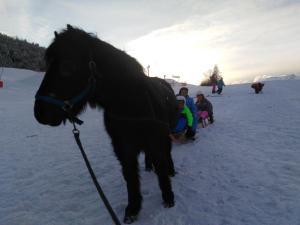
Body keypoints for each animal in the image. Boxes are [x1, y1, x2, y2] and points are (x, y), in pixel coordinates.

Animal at [33, 25, 178, 223]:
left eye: (68, 66)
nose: (40, 113)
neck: (132, 104)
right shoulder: (123, 148)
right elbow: (131, 177)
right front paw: (133, 209)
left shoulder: (156, 141)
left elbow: (162, 168)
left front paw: (168, 198)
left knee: (166, 154)